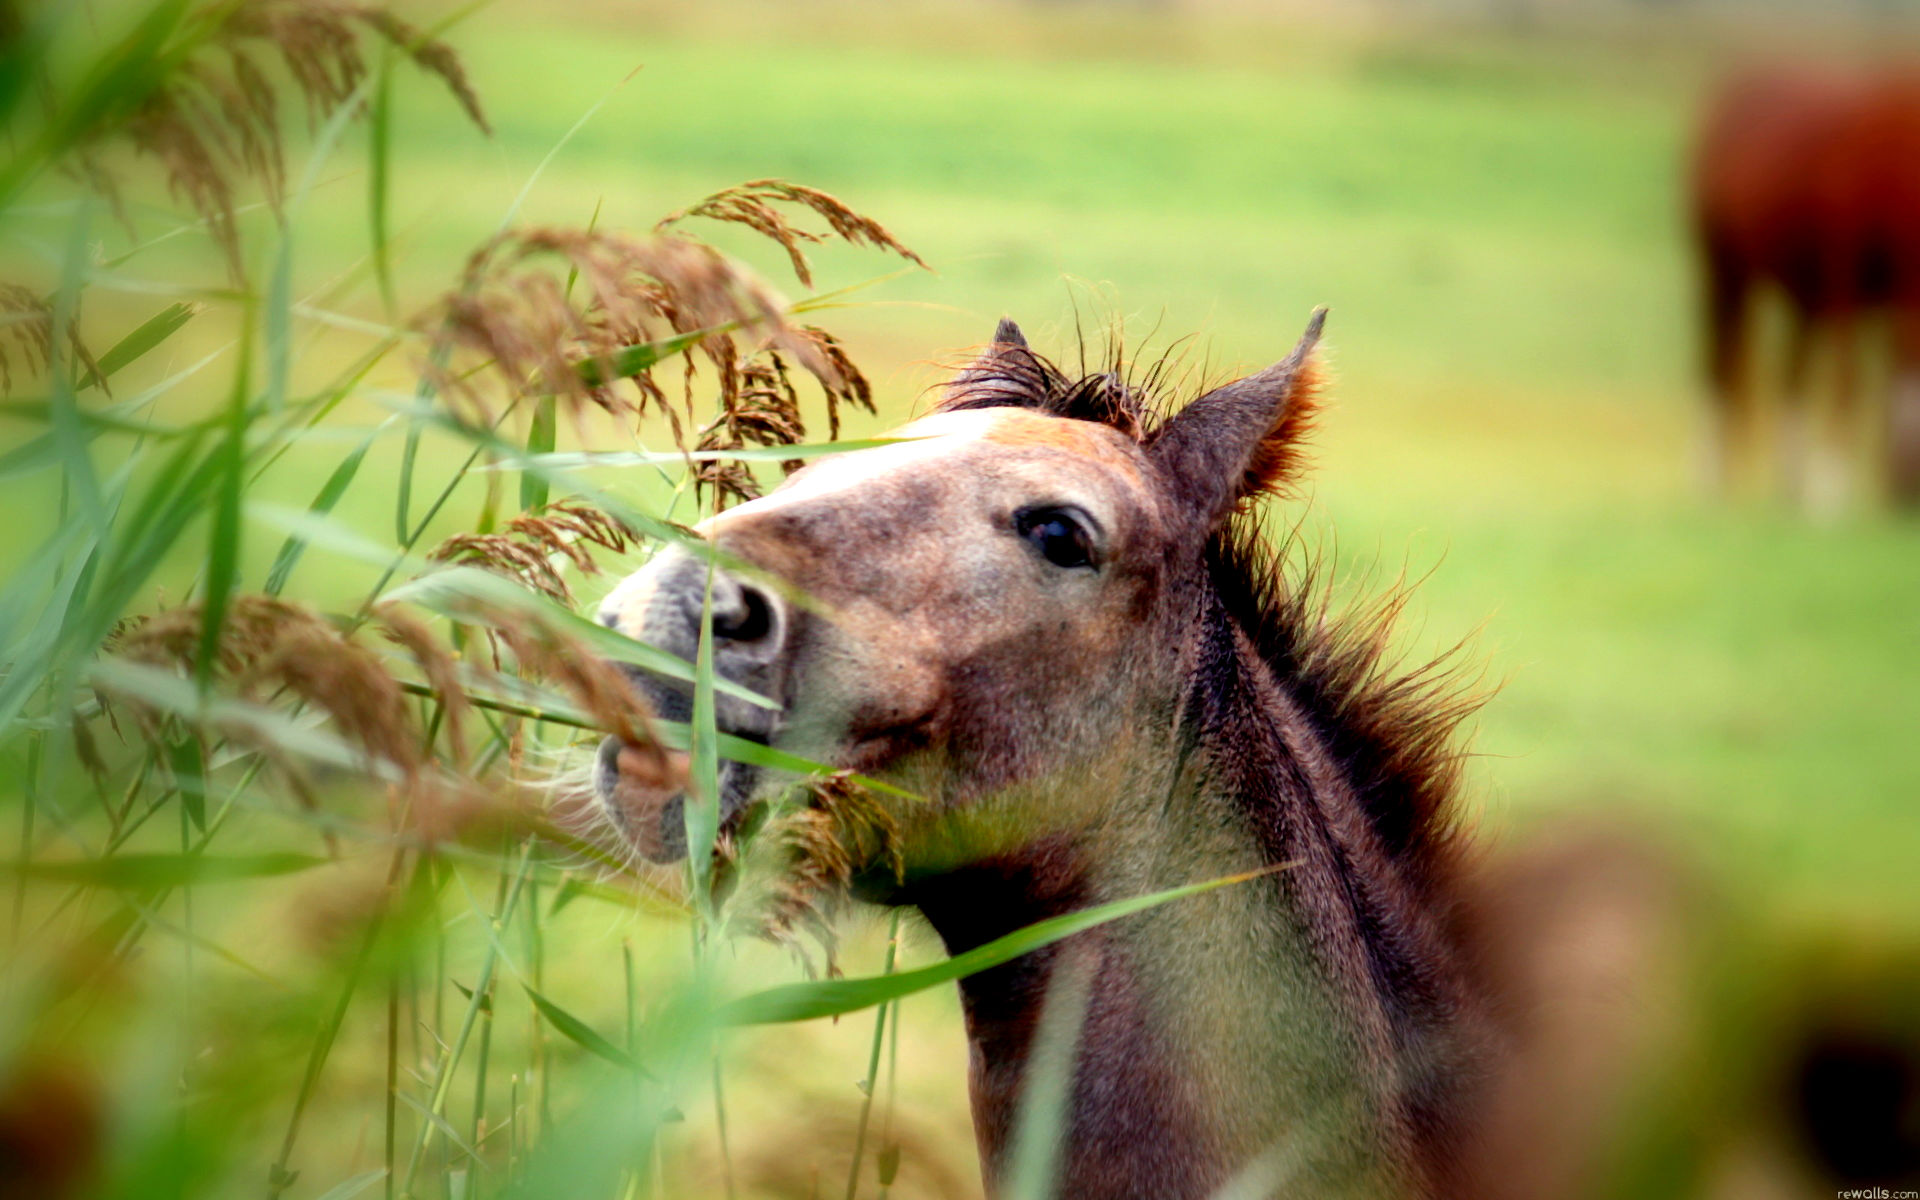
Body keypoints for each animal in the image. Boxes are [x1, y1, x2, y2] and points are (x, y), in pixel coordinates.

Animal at [1689, 66, 1920, 510]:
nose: (1904, 498)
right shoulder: (1843, 272)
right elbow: (1849, 379)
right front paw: (1829, 491)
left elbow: (1884, 379)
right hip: (1723, 270)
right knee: (1720, 361)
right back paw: (1712, 479)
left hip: (1799, 296)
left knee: (1789, 374)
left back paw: (1788, 483)